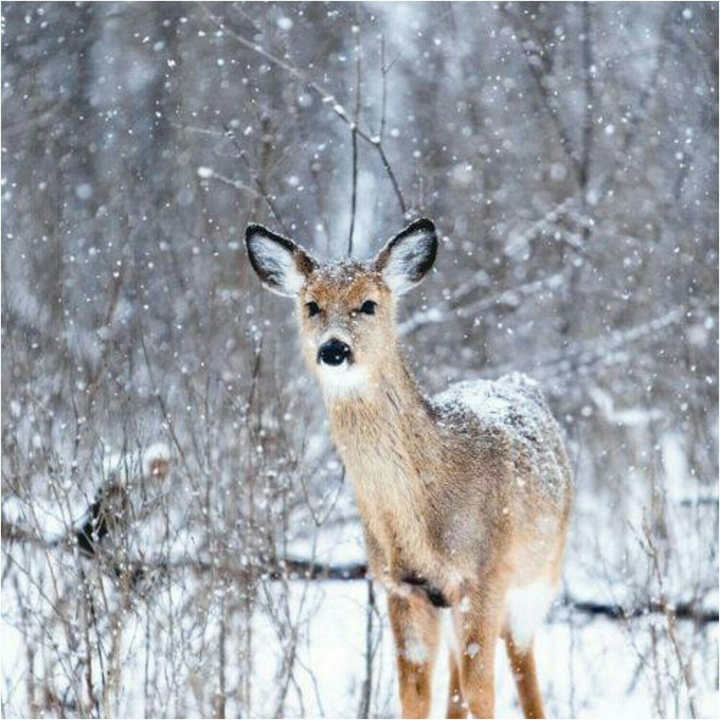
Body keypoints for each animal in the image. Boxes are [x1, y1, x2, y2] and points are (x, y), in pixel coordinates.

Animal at [245, 218, 573, 719]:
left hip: (540, 575)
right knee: (457, 680)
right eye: (312, 305)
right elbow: (414, 696)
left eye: (368, 304)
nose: (333, 349)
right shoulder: (401, 586)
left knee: (522, 663)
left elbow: (483, 694)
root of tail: (520, 382)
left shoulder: (485, 575)